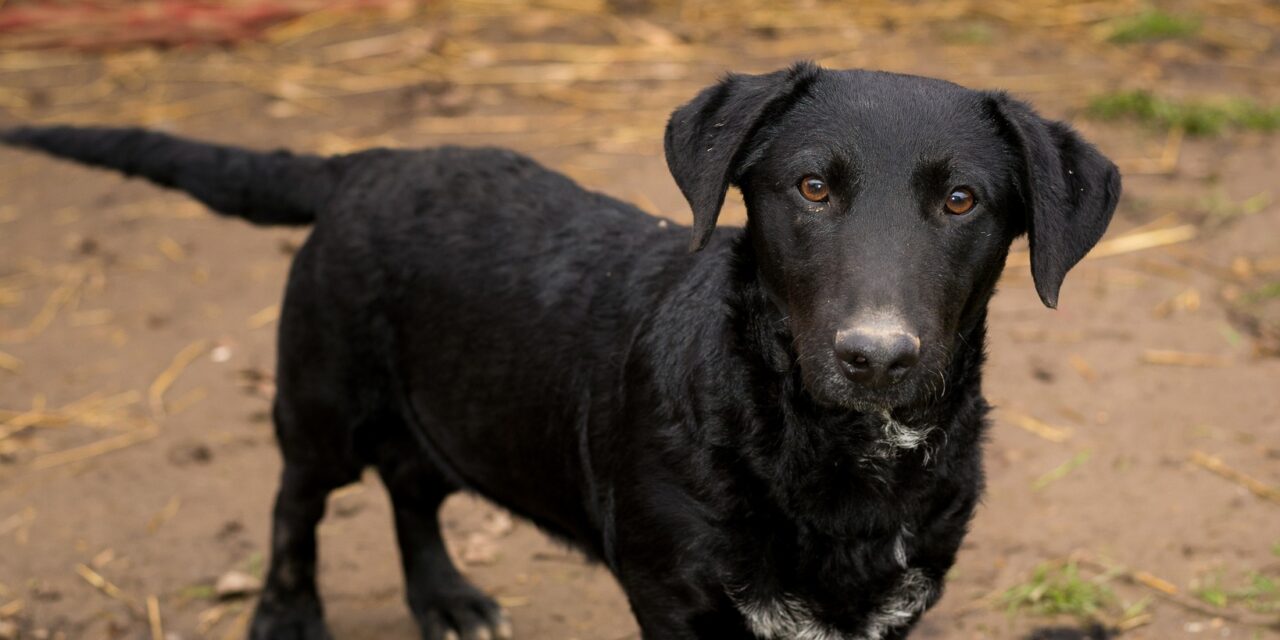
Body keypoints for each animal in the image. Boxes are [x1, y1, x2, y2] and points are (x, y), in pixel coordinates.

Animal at [2, 63, 1121, 640]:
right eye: (810, 187)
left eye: (962, 200)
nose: (876, 355)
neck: (829, 460)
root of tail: (367, 162)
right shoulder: (675, 601)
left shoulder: (894, 606)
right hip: (322, 398)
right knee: (296, 499)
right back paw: (287, 617)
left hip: (449, 405)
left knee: (412, 487)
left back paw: (445, 600)